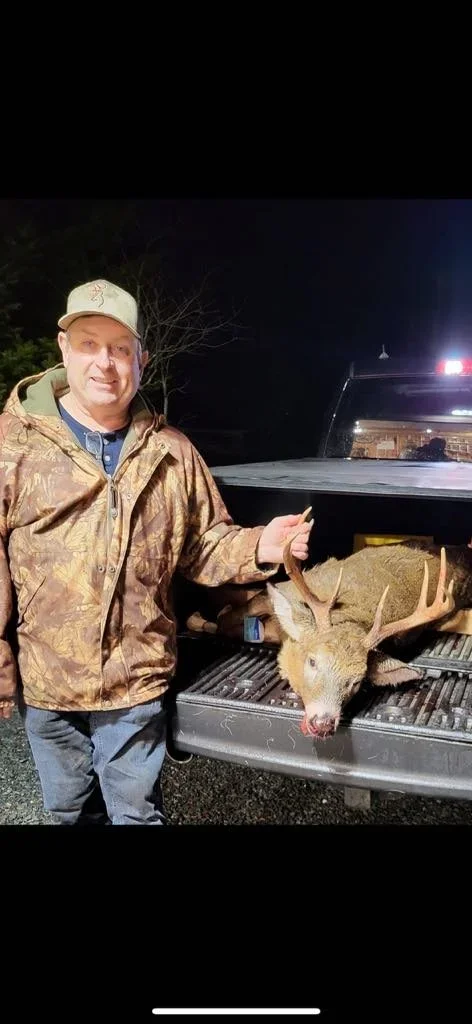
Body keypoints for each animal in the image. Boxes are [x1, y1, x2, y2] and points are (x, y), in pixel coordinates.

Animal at [186, 508, 472, 739]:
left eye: (357, 682)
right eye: (313, 661)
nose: (322, 723)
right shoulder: (279, 593)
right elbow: (232, 617)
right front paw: (205, 616)